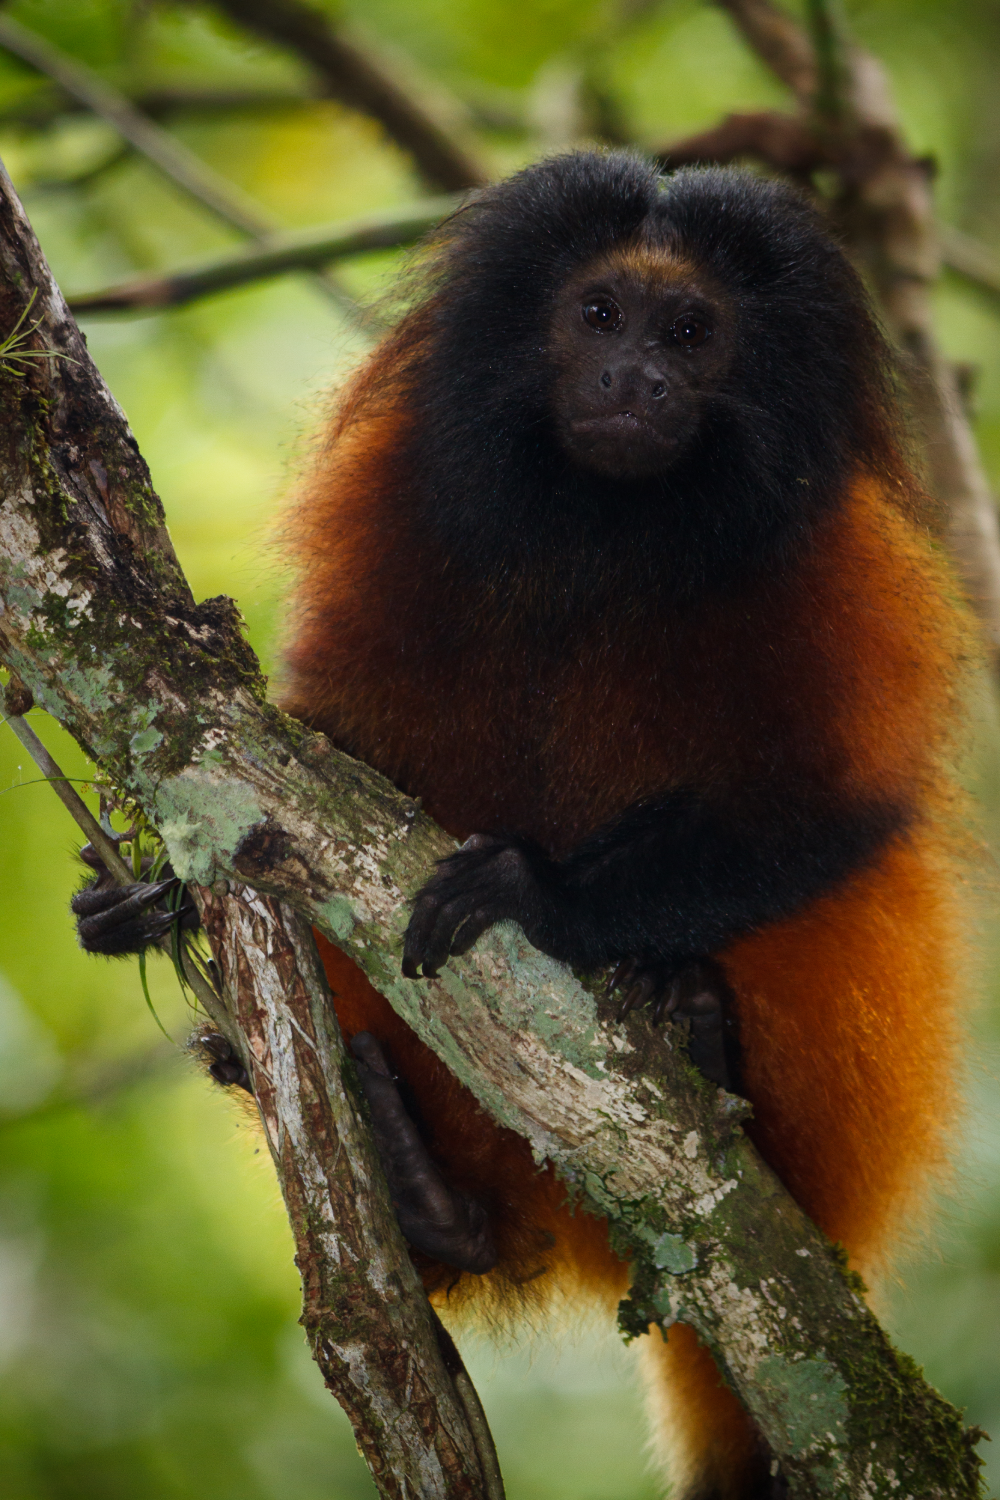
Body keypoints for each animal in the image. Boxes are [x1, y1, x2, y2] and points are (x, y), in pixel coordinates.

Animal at [76, 152, 971, 1500]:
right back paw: (424, 1196)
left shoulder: (840, 557)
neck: (603, 532)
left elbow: (836, 821)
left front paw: (538, 896)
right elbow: (309, 762)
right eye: (600, 316)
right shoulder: (398, 494)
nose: (637, 380)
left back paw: (693, 1033)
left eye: (689, 332)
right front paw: (151, 899)